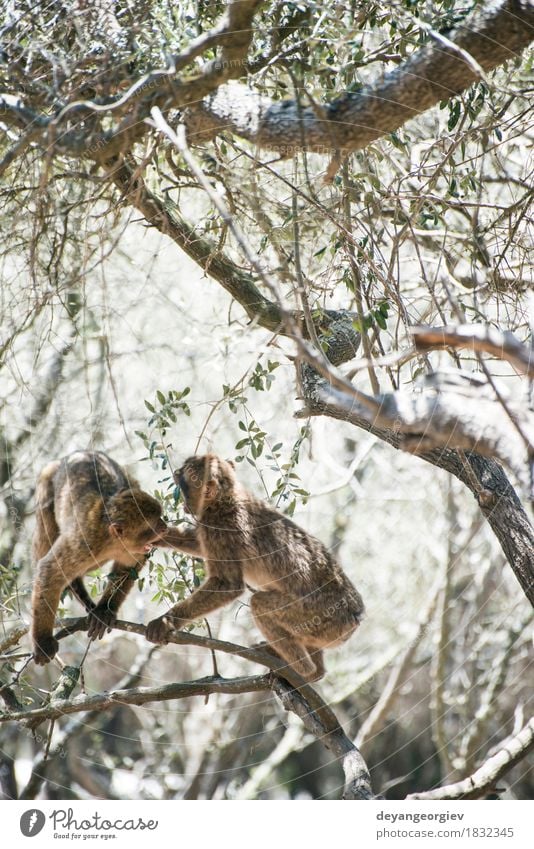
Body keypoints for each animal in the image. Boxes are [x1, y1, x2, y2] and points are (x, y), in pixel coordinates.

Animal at [31, 448, 170, 664]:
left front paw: (104, 611)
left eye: (160, 518)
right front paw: (43, 641)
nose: (165, 527)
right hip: (46, 481)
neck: (113, 541)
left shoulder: (130, 550)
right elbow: (49, 570)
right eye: (153, 525)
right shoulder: (84, 541)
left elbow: (128, 568)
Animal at [147, 450, 364, 684]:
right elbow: (198, 543)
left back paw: (303, 670)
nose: (176, 473)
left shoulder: (220, 526)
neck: (225, 499)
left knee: (259, 603)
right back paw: (315, 672)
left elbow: (228, 585)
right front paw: (153, 531)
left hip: (322, 617)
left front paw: (167, 621)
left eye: (184, 474)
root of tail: (357, 616)